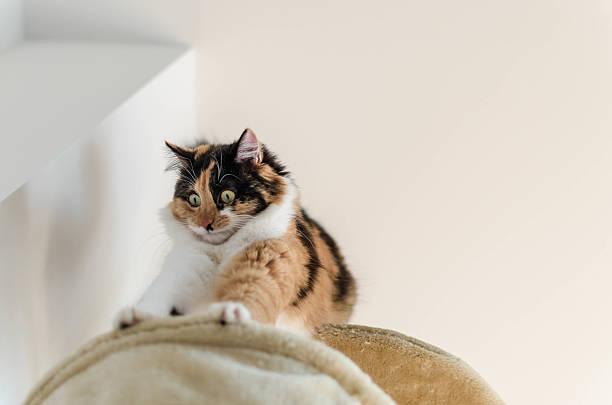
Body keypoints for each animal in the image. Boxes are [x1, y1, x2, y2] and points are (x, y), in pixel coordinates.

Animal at [113, 129, 358, 332]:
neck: (222, 251)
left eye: (227, 195)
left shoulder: (269, 255)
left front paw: (231, 311)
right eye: (194, 199)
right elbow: (161, 294)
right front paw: (136, 316)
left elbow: (251, 288)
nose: (205, 224)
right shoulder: (184, 266)